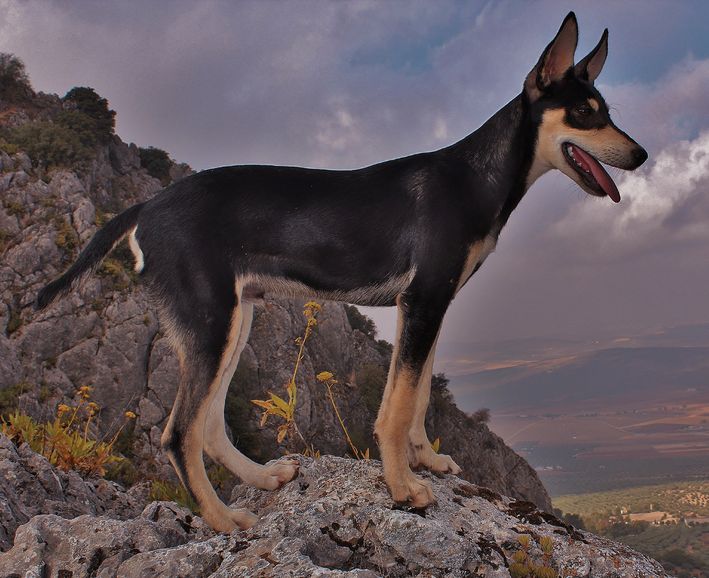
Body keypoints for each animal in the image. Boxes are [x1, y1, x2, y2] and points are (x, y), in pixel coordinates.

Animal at [37, 11, 648, 528]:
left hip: (232, 321)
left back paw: (264, 479)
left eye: (606, 111)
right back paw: (225, 521)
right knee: (180, 433)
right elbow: (397, 408)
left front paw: (427, 462)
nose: (641, 156)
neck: (477, 175)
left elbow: (418, 396)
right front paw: (403, 488)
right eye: (584, 114)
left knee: (208, 427)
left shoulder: (430, 305)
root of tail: (146, 207)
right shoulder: (423, 300)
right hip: (210, 324)